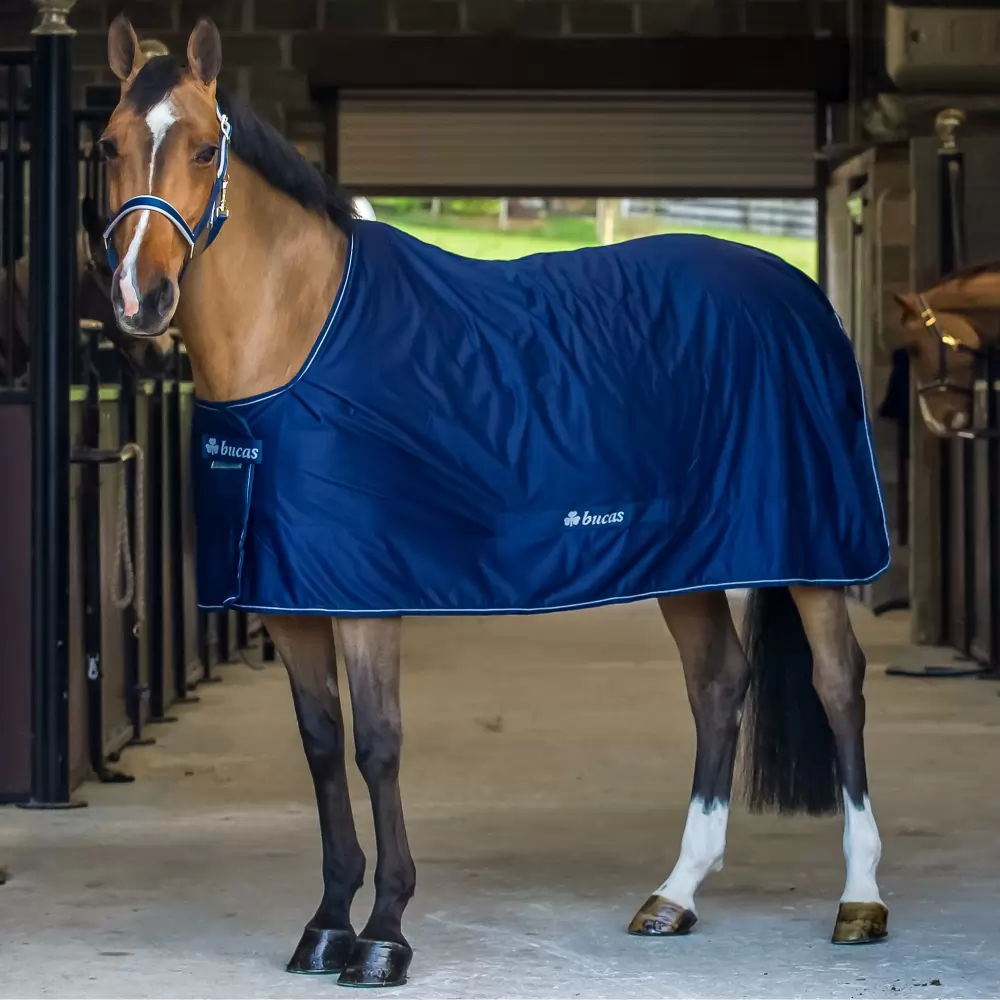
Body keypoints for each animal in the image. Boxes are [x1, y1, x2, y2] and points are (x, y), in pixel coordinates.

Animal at [99, 14, 892, 988]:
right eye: (109, 145)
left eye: (205, 149)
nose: (139, 298)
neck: (302, 335)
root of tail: (802, 292)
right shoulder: (289, 597)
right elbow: (321, 744)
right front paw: (326, 923)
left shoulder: (366, 596)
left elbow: (377, 745)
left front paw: (384, 935)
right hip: (690, 560)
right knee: (718, 684)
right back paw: (676, 894)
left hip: (816, 550)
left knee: (838, 685)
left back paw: (860, 898)